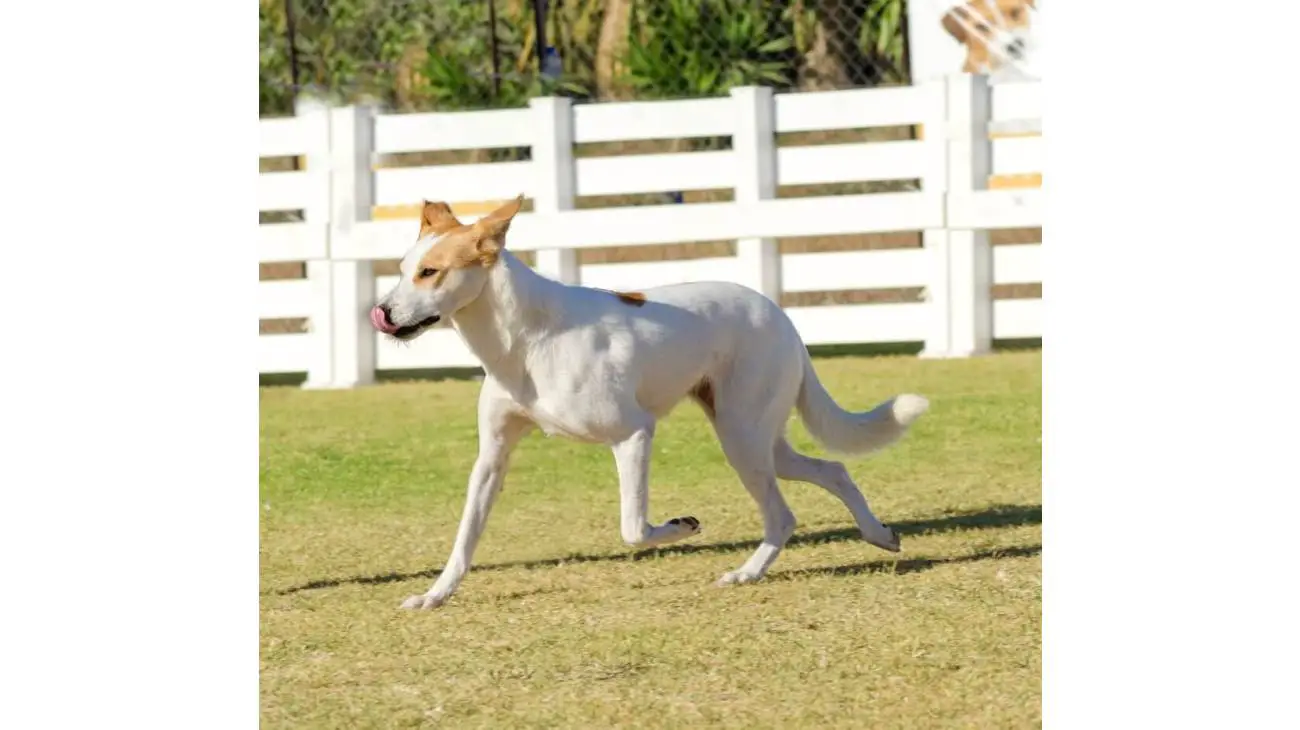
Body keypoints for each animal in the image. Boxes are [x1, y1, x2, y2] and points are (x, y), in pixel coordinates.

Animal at [371, 194, 930, 607]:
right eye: (402, 268)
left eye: (430, 273)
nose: (382, 312)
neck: (525, 338)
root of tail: (779, 314)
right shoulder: (492, 457)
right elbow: (465, 536)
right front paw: (434, 595)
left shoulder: (634, 434)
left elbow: (634, 528)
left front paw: (682, 527)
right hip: (758, 439)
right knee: (832, 470)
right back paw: (877, 536)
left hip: (741, 437)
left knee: (783, 514)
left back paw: (747, 573)